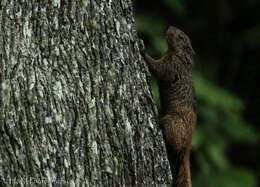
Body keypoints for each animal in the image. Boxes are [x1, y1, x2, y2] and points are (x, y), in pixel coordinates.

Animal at [141, 26, 196, 187]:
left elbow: (159, 69)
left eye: (180, 36)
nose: (170, 27)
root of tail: (187, 147)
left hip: (172, 123)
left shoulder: (172, 65)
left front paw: (143, 51)